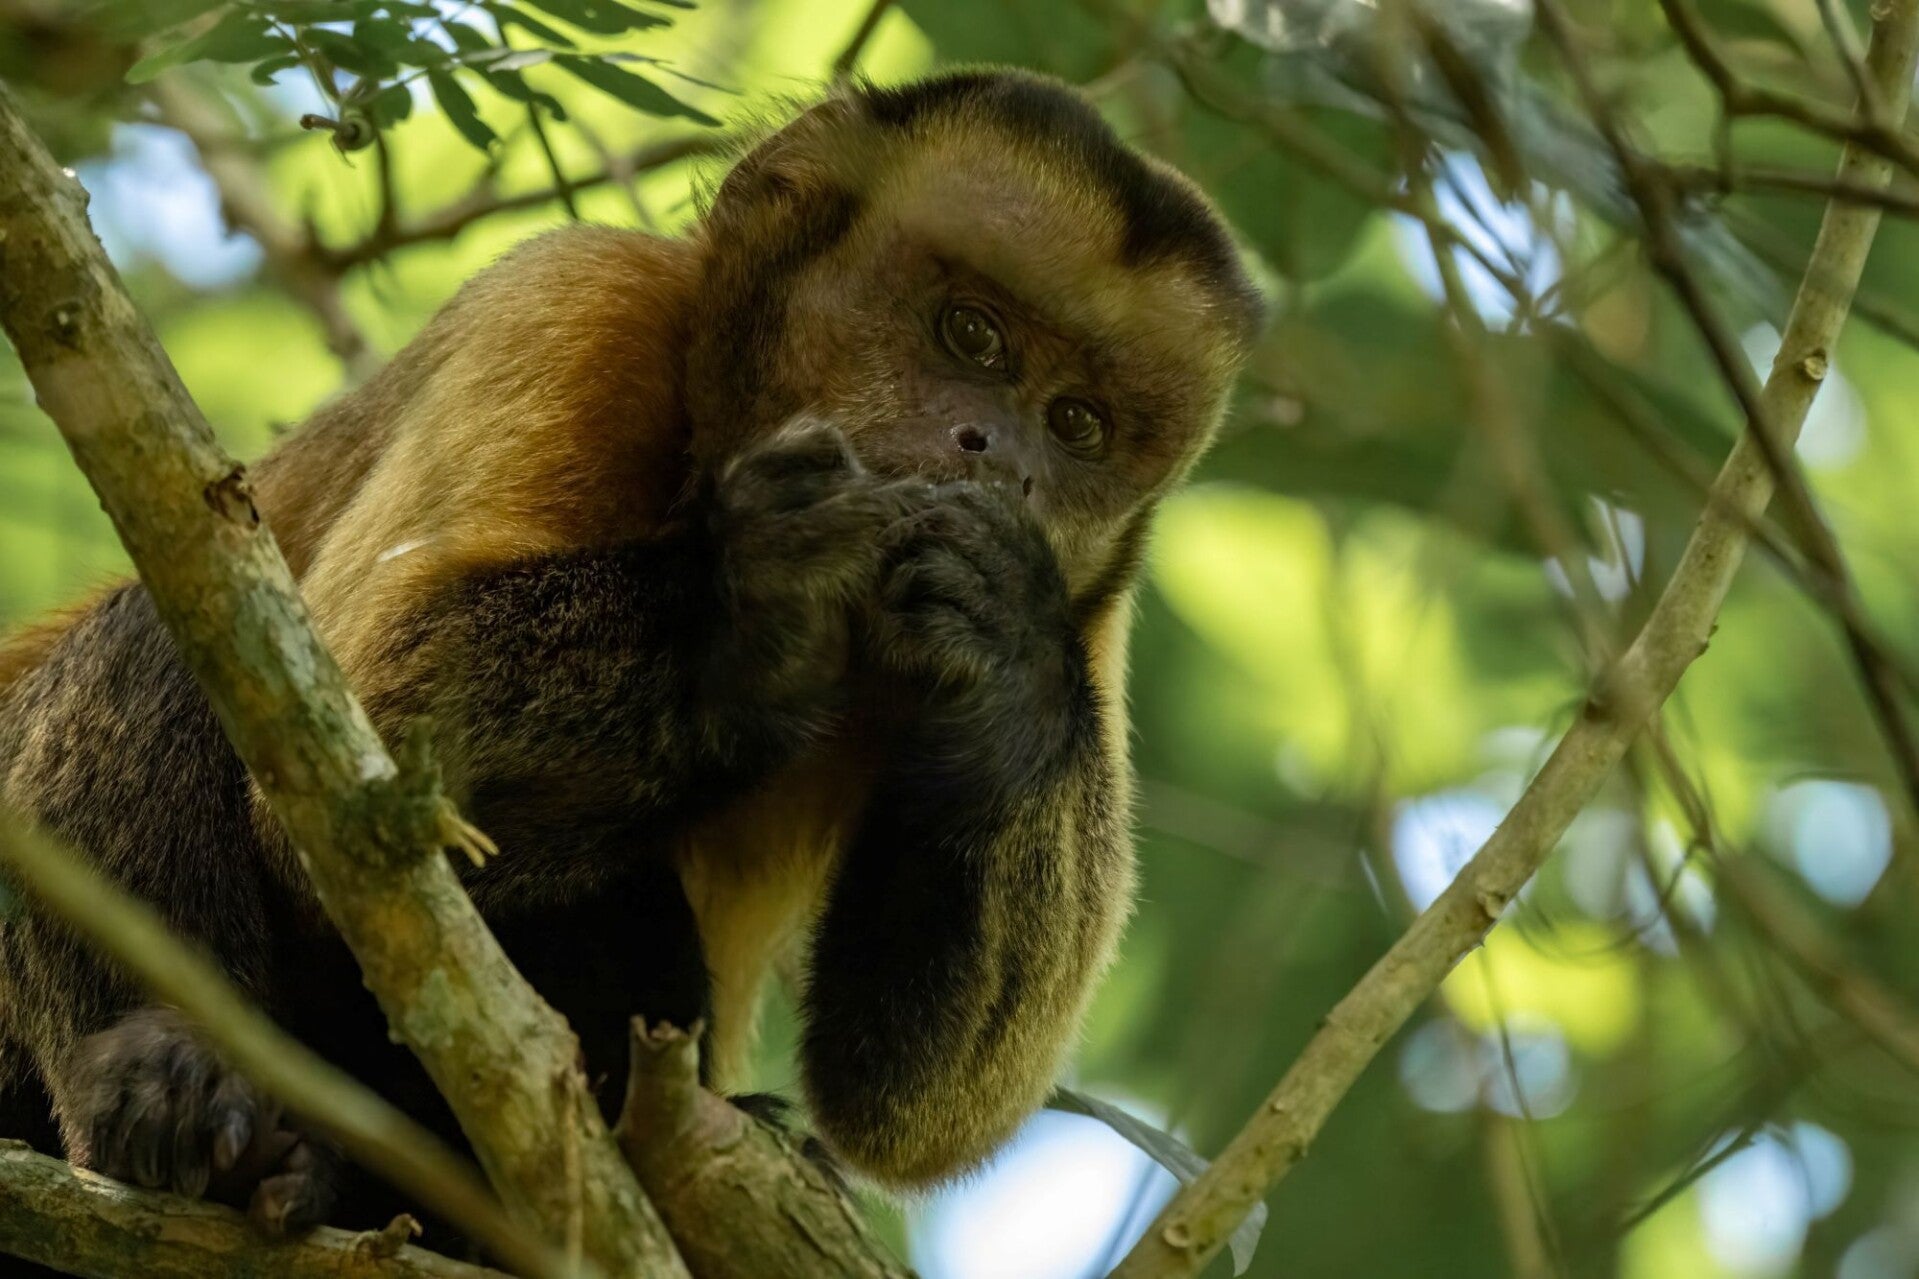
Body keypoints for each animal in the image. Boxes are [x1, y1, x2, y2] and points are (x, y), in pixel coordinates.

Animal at [0, 67, 1262, 1238]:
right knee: (162, 636)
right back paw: (169, 1072)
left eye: (1077, 425)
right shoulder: (577, 303)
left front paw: (995, 645)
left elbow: (916, 1109)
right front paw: (759, 597)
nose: (1000, 456)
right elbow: (366, 734)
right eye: (971, 335)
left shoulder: (1089, 607)